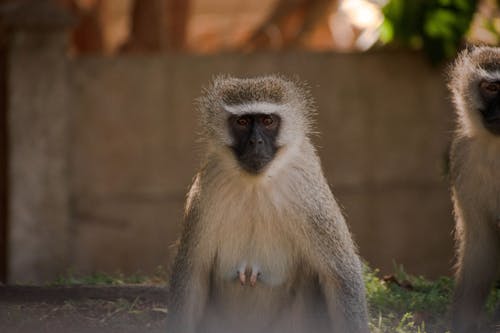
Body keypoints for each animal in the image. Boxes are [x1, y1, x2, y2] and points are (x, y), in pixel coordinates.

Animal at [166, 74, 370, 330]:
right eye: (242, 121)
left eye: (267, 120)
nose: (255, 142)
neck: (257, 184)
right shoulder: (208, 186)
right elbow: (192, 273)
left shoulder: (308, 192)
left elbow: (340, 275)